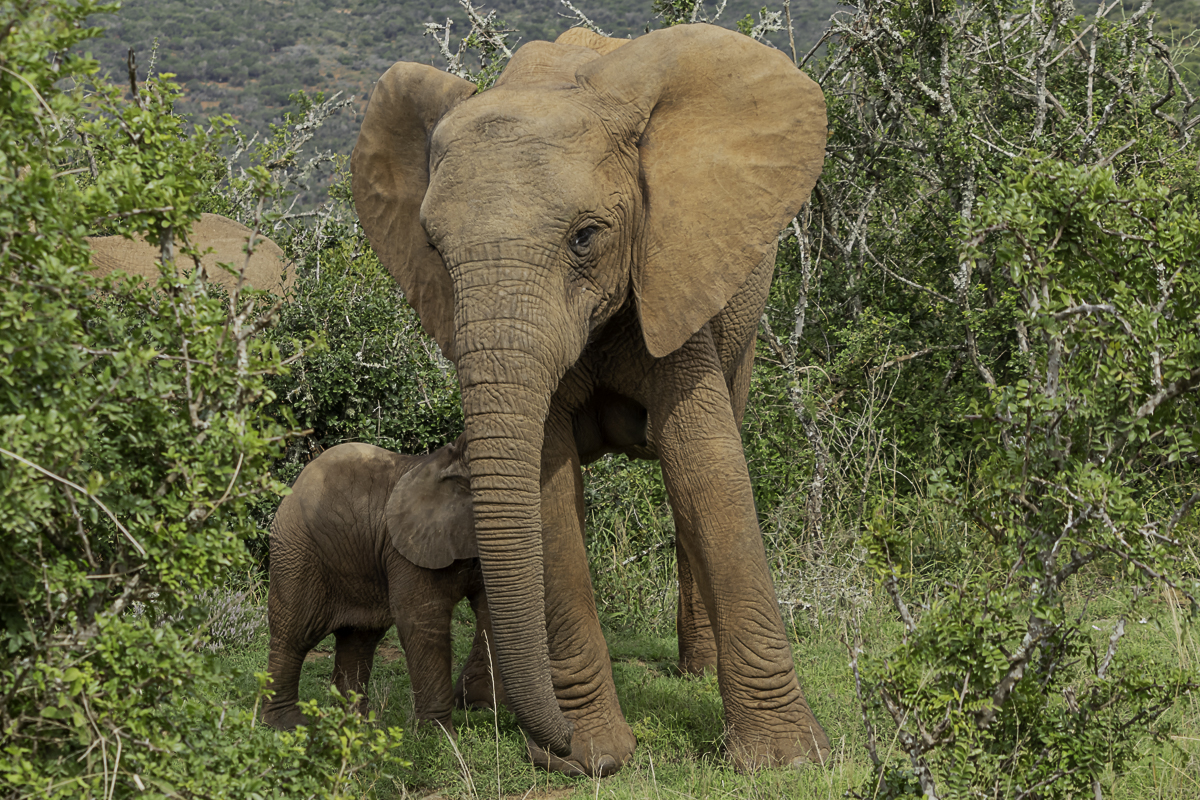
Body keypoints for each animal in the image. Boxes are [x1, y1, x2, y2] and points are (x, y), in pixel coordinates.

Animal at [263, 438, 505, 734]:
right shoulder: (405, 549)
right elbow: (422, 617)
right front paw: (440, 736)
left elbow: (491, 610)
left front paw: (483, 708)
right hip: (297, 552)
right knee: (295, 635)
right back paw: (287, 724)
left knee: (359, 637)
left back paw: (357, 725)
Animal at [351, 23, 830, 775]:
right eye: (432, 248)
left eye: (585, 238)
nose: (562, 743)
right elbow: (547, 492)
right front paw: (591, 758)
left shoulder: (672, 269)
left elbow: (706, 468)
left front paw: (786, 761)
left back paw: (694, 670)